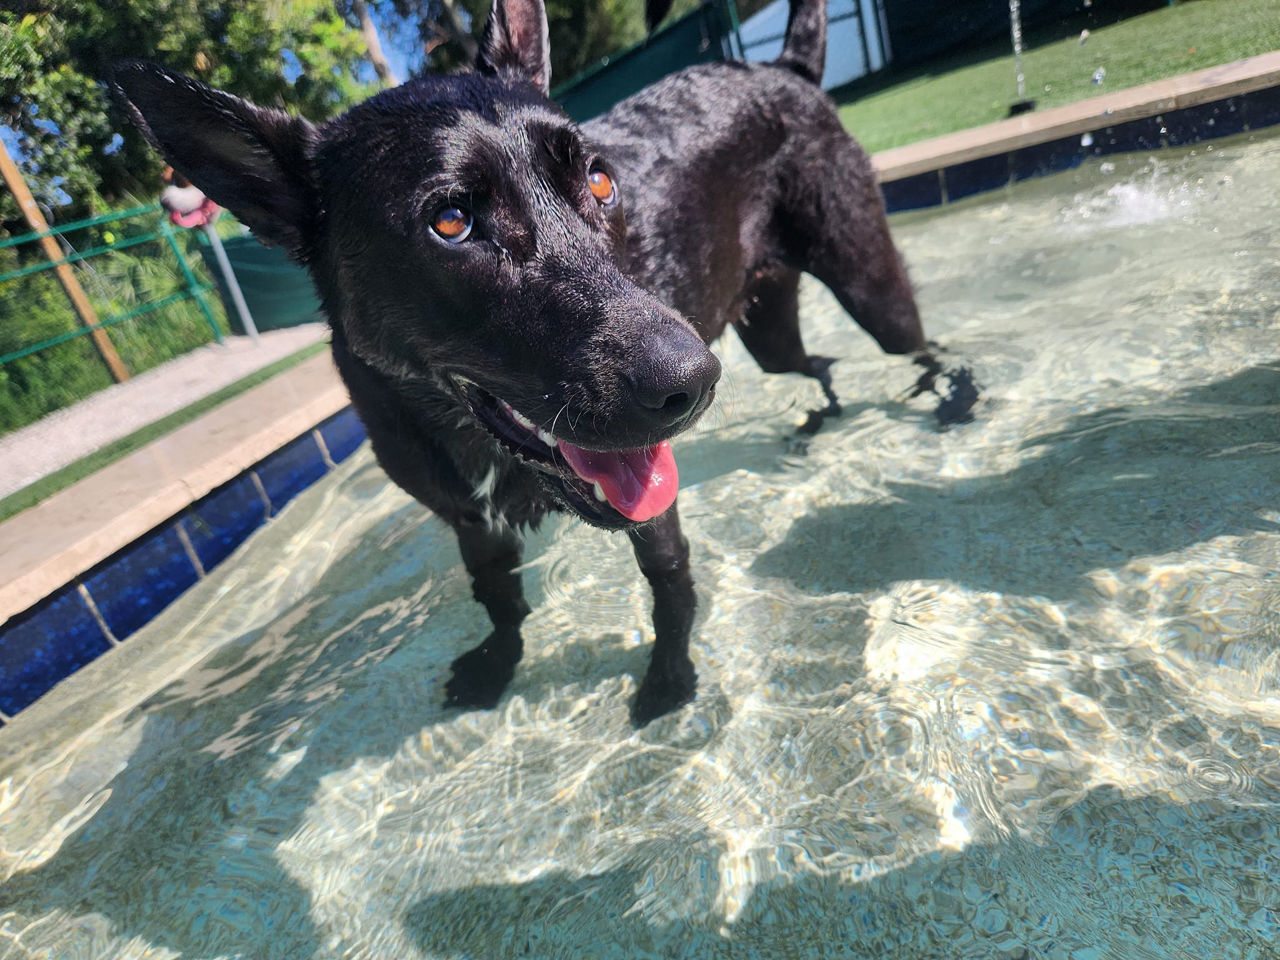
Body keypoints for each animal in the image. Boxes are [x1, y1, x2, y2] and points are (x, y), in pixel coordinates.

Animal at [112, 0, 952, 727]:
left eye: (601, 179)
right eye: (452, 221)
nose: (692, 384)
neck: (476, 441)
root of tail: (783, 68)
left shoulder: (649, 498)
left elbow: (670, 584)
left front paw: (669, 679)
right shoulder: (469, 523)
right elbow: (499, 600)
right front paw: (497, 665)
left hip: (865, 286)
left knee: (920, 345)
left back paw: (951, 402)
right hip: (769, 337)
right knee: (820, 363)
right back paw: (817, 423)